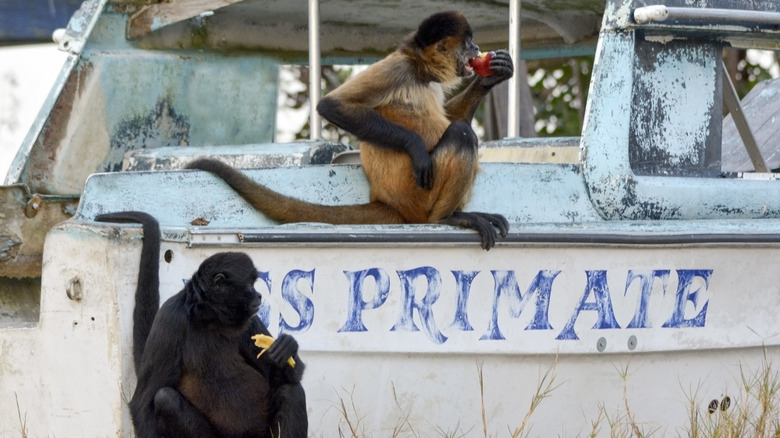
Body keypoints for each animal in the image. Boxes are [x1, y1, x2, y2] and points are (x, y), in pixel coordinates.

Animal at [95, 210, 308, 436]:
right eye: (250, 285)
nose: (258, 296)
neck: (210, 317)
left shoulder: (249, 320)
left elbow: (285, 380)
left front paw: (287, 346)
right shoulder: (171, 318)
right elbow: (142, 404)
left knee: (291, 391)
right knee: (165, 398)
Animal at [187, 11, 516, 250]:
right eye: (468, 43)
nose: (477, 49)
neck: (421, 71)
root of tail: (385, 199)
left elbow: (450, 115)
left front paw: (491, 77)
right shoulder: (398, 69)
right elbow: (331, 105)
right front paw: (417, 149)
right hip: (419, 197)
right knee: (461, 135)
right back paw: (448, 217)